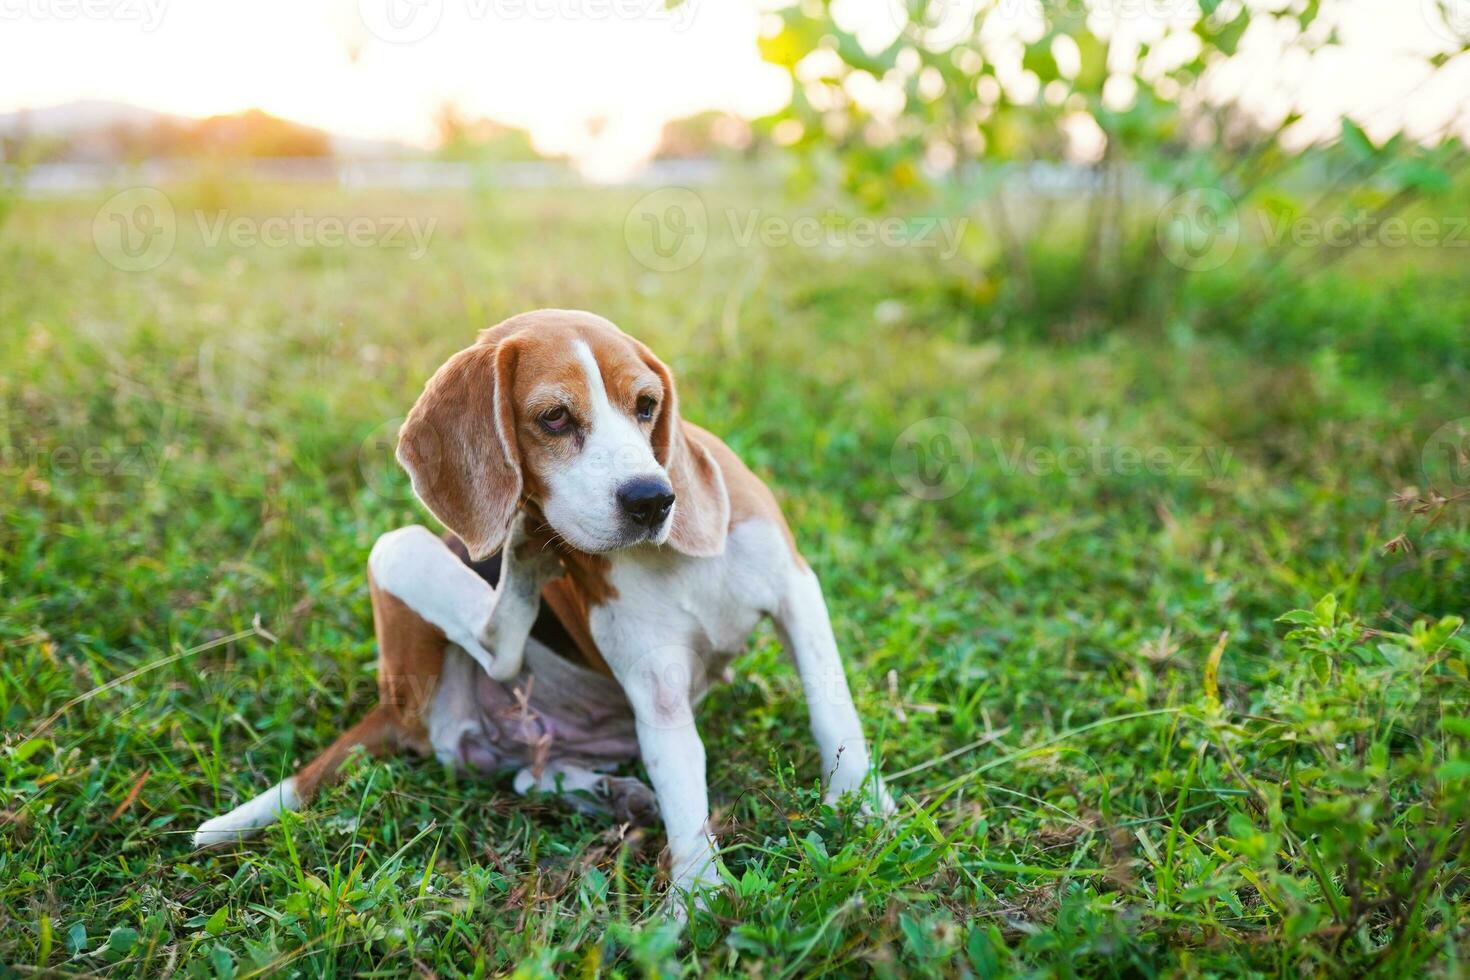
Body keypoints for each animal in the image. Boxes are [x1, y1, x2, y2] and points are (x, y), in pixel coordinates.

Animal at [189, 310, 887, 899]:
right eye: (553, 417)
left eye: (647, 406)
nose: (652, 499)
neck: (668, 556)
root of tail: (390, 706)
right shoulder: (658, 686)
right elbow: (686, 789)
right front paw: (699, 899)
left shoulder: (797, 591)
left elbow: (832, 708)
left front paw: (859, 806)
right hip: (405, 574)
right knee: (487, 643)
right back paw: (523, 558)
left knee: (528, 772)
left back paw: (608, 791)